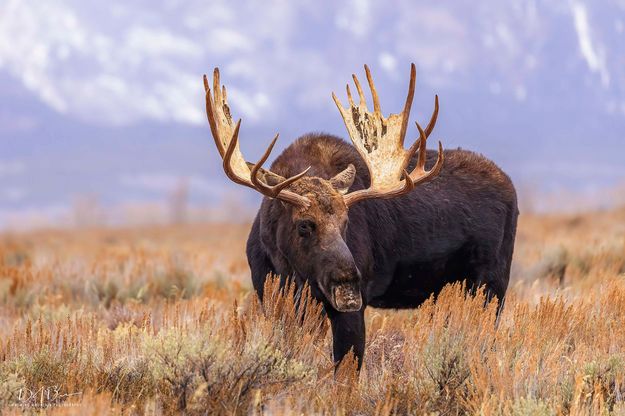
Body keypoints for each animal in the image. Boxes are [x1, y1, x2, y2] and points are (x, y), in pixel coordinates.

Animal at [204, 63, 516, 366]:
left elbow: (346, 370)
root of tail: (511, 187)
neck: (284, 263)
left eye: (345, 223)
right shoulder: (271, 297)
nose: (349, 285)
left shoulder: (348, 312)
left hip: (492, 286)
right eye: (305, 225)